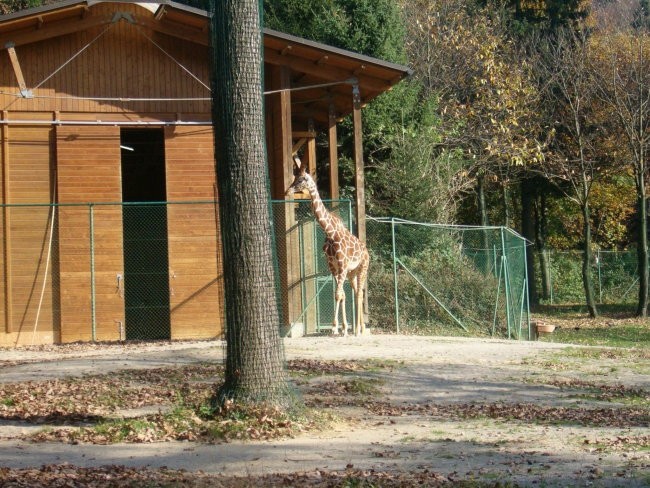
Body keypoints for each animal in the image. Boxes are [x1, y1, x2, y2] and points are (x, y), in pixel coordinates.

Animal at [284, 156, 370, 336]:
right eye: (295, 177)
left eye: (302, 179)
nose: (287, 191)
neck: (330, 232)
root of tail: (367, 251)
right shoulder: (333, 267)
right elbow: (341, 294)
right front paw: (343, 328)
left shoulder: (342, 265)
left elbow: (338, 294)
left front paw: (335, 328)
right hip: (352, 273)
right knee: (356, 292)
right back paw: (358, 329)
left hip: (363, 268)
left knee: (360, 293)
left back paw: (360, 330)